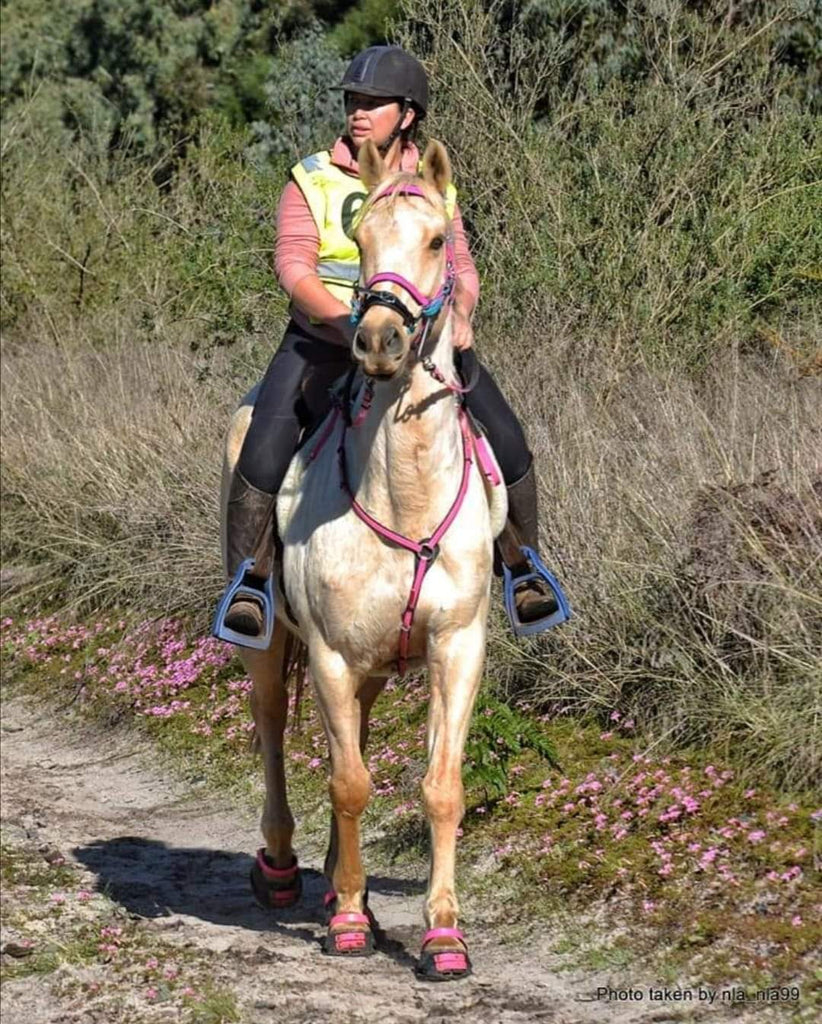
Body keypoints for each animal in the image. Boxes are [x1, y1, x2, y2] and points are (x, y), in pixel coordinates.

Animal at [219, 140, 507, 978]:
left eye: (440, 241)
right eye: (363, 238)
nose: (379, 340)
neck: (405, 495)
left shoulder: (457, 646)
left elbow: (441, 787)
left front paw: (444, 935)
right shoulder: (331, 654)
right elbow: (348, 784)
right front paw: (347, 917)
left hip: (378, 665)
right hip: (274, 643)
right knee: (272, 726)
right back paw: (287, 872)